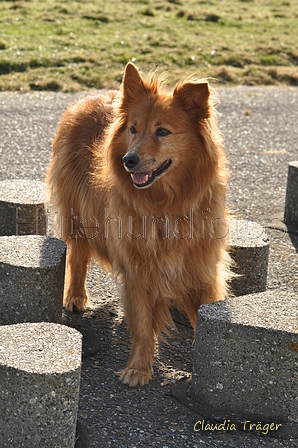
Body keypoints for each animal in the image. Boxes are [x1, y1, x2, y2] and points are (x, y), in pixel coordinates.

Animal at [48, 63, 230, 384]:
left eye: (162, 131)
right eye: (133, 129)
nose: (128, 160)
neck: (167, 205)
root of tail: (90, 98)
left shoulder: (201, 270)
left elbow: (204, 317)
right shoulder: (138, 267)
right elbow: (143, 324)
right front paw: (139, 368)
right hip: (78, 213)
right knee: (78, 254)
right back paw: (76, 296)